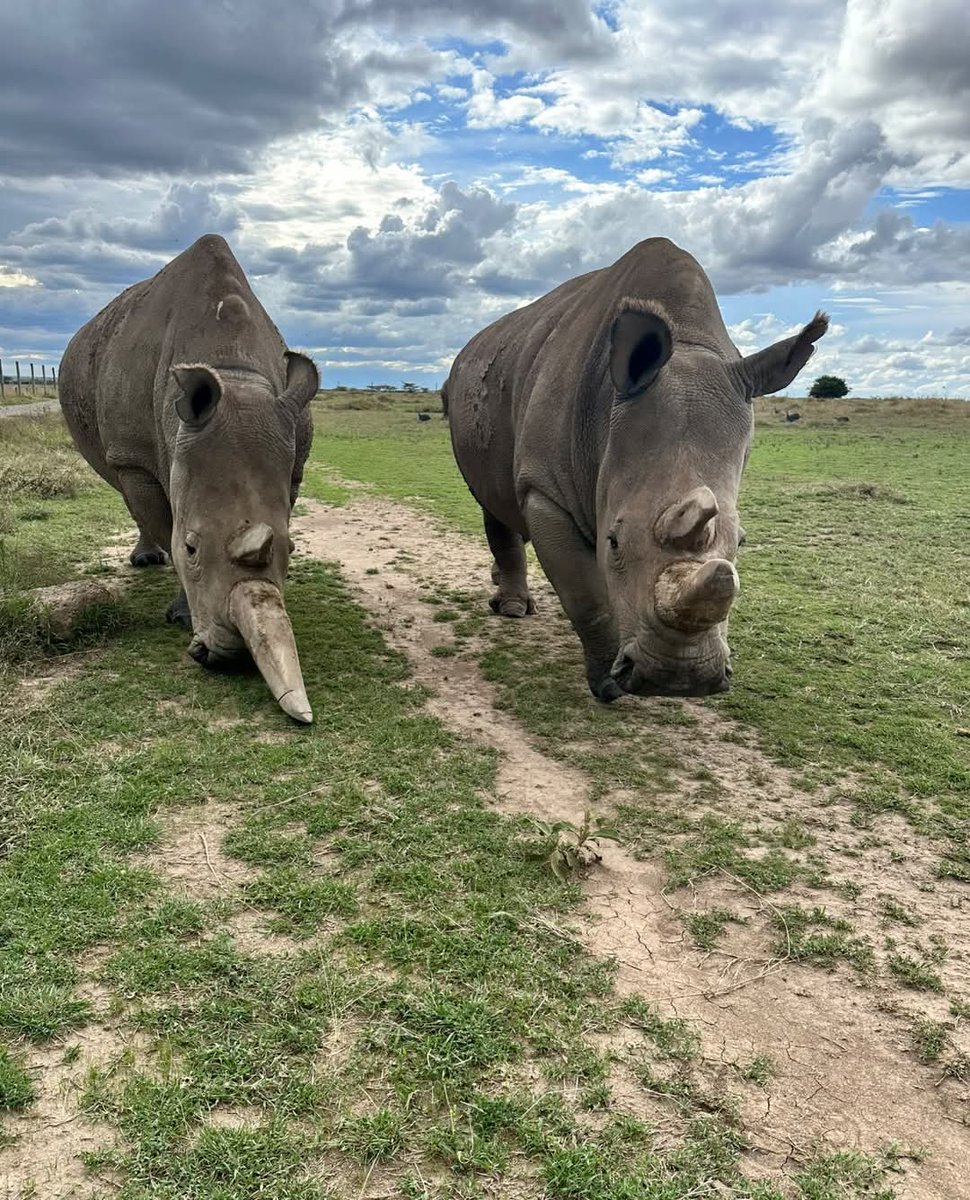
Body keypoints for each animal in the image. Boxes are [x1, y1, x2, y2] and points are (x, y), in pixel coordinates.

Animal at [59, 234, 319, 723]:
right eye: (192, 547)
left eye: (294, 548)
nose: (231, 656)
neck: (232, 369)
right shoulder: (136, 458)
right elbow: (163, 520)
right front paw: (181, 617)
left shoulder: (292, 465)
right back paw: (146, 561)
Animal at [444, 237, 827, 701]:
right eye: (613, 542)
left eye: (742, 542)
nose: (678, 680)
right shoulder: (545, 490)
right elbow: (586, 598)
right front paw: (609, 686)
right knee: (490, 499)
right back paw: (515, 611)